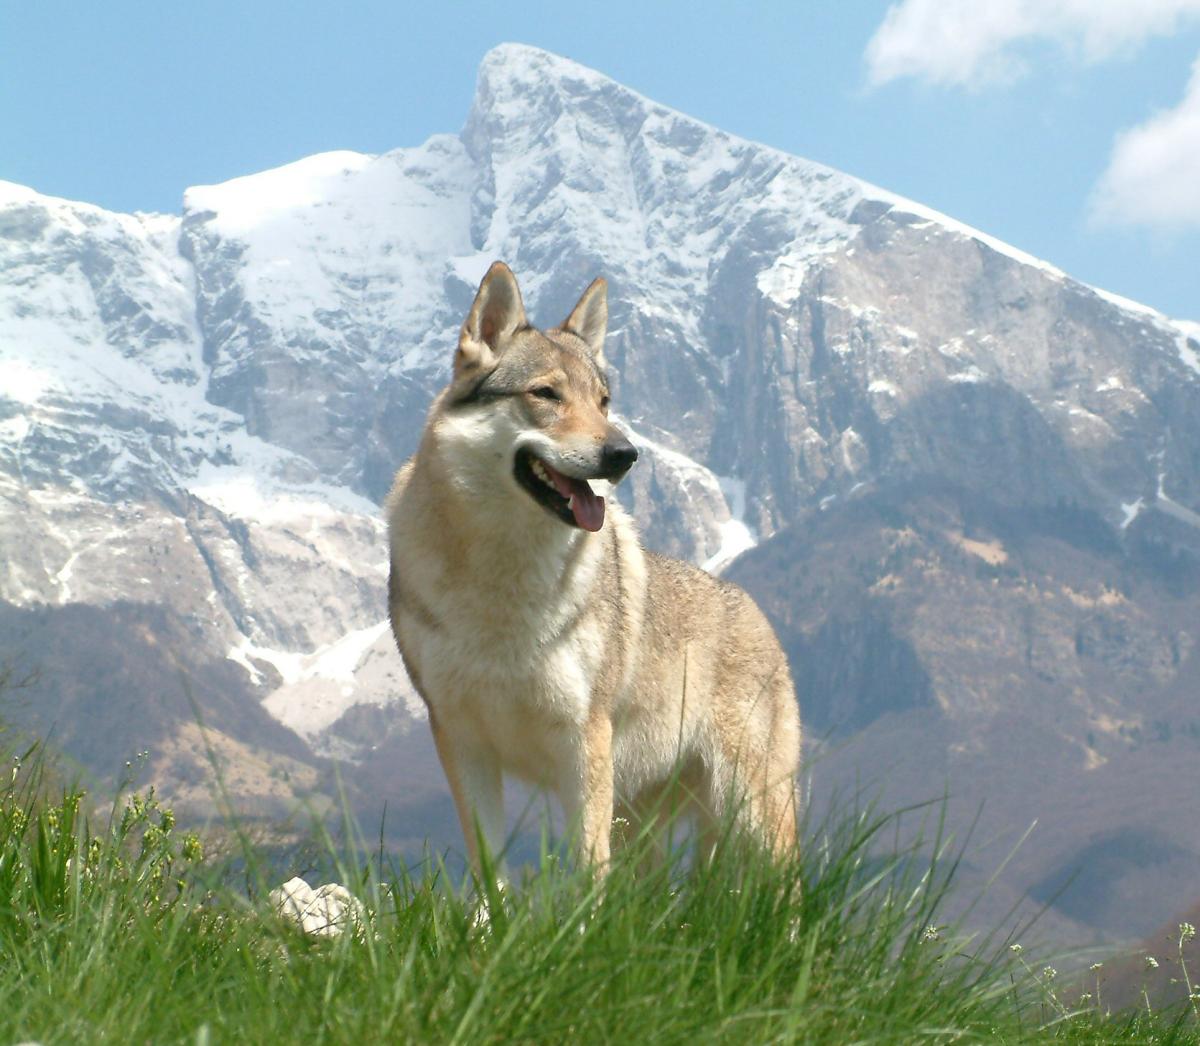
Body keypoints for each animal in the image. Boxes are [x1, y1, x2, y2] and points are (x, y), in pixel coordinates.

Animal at [386, 262, 801, 876]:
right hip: (647, 822)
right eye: (546, 394)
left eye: (603, 401)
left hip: (748, 814)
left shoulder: (583, 742)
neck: (502, 579)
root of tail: (758, 614)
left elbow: (588, 870)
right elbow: (490, 871)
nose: (625, 454)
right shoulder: (461, 740)